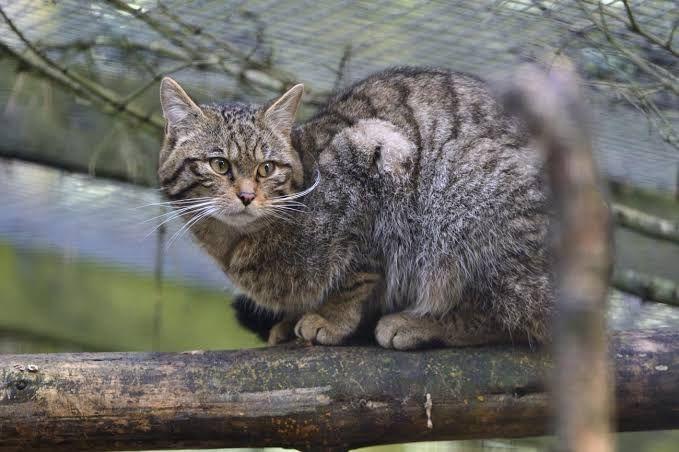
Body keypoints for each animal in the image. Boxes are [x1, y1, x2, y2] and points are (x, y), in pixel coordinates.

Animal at [161, 67, 556, 350]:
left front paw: (332, 318)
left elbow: (358, 270)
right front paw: (291, 321)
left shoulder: (378, 157)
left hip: (465, 206)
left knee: (509, 316)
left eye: (266, 169)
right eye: (220, 165)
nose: (246, 196)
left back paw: (418, 323)